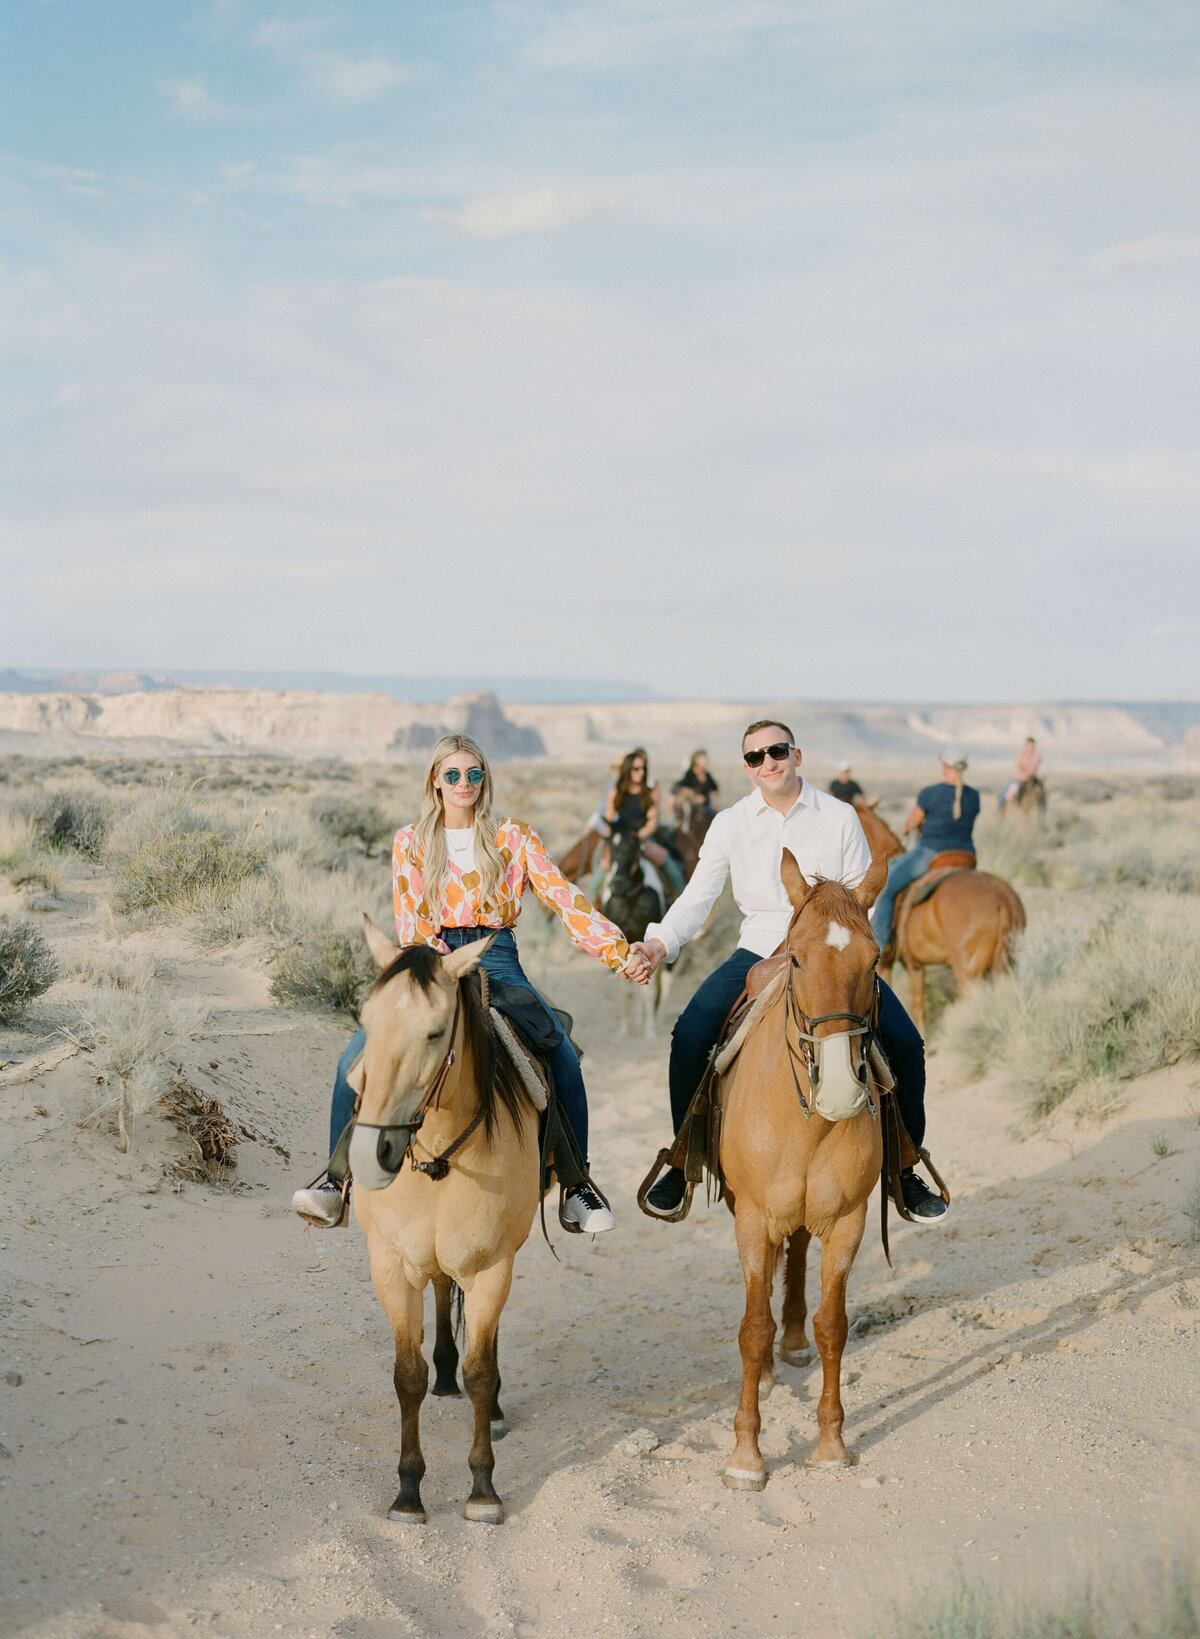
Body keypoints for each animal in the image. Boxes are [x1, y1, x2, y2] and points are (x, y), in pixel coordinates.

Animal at [344, 924, 537, 1520]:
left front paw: (482, 1488)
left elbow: (481, 1372)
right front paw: (408, 1491)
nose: (376, 1150)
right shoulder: (390, 1263)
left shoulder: (493, 1264)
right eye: (367, 1024)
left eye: (433, 1033)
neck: (437, 1154)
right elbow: (407, 1376)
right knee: (440, 1288)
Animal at [711, 845, 891, 1488]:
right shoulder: (751, 1218)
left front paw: (832, 1442)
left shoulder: (848, 1221)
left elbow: (832, 1324)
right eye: (797, 958)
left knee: (796, 1255)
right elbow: (750, 1328)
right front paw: (746, 1456)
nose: (840, 1088)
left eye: (875, 958)